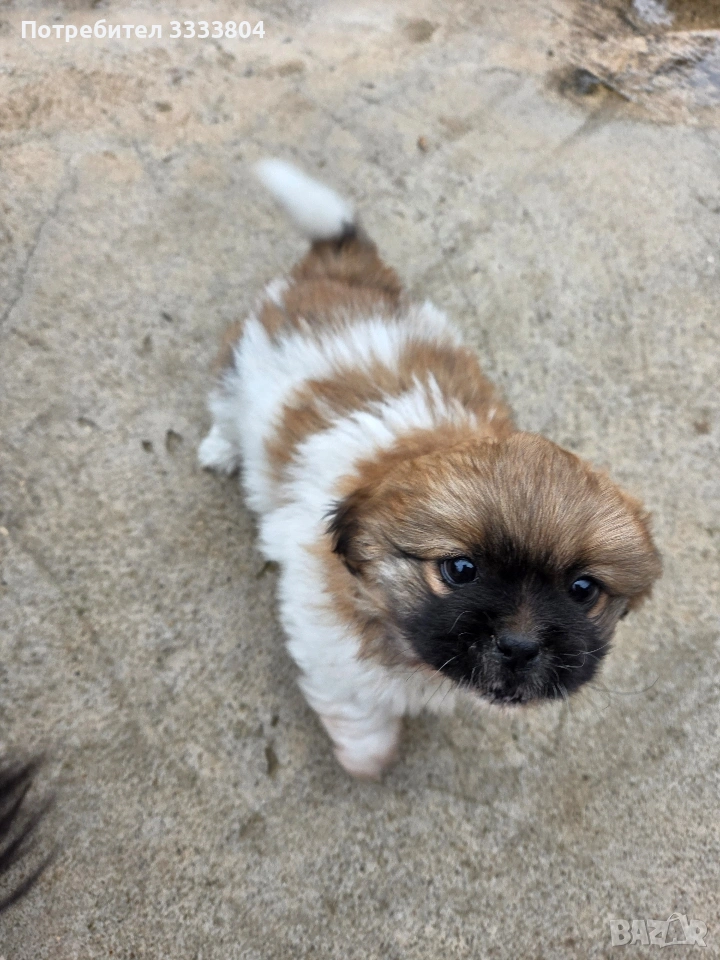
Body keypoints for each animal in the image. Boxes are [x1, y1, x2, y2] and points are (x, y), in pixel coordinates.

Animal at [199, 160, 661, 778]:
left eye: (583, 589)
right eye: (460, 570)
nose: (520, 646)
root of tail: (342, 265)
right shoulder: (326, 644)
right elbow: (360, 711)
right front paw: (367, 759)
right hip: (240, 370)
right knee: (226, 408)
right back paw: (221, 449)